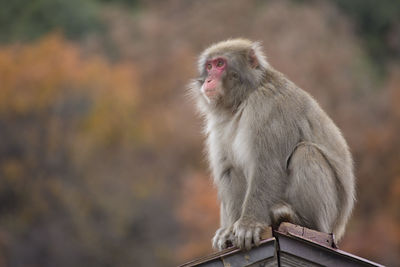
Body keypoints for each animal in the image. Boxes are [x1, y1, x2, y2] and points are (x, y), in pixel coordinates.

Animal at [189, 38, 354, 252]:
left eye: (219, 64)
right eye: (209, 67)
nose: (209, 80)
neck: (244, 97)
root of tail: (338, 227)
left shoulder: (266, 107)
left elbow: (267, 165)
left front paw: (248, 224)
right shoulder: (220, 123)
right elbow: (230, 170)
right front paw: (229, 230)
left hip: (329, 220)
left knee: (306, 152)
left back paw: (300, 220)